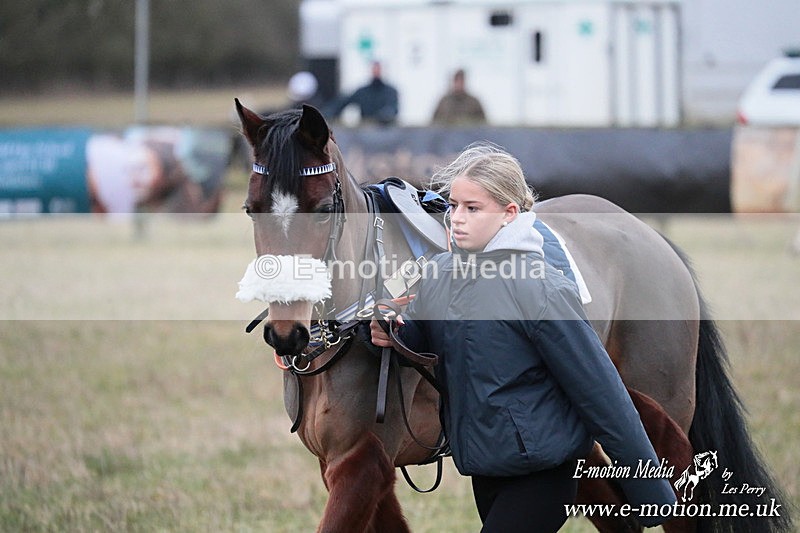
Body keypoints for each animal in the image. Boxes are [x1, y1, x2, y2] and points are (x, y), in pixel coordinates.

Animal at [234, 101, 791, 533]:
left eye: (323, 207)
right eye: (252, 208)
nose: (286, 332)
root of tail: (651, 238)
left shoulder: (362, 463)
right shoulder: (350, 465)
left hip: (660, 414)